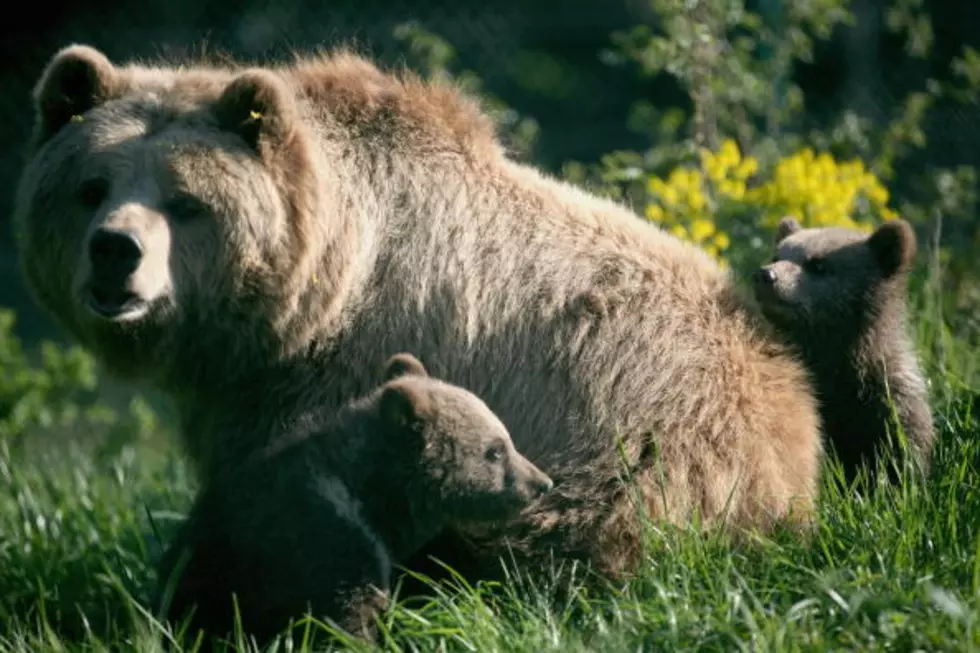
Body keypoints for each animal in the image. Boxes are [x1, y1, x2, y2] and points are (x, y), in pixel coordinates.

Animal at [15, 45, 824, 584]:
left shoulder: (338, 369)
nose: (115, 252)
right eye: (91, 185)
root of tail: (795, 439)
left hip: (634, 451)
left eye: (185, 201)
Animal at [153, 354, 552, 648]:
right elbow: (343, 622)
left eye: (505, 439)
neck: (374, 496)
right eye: (495, 450)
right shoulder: (328, 545)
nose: (542, 483)